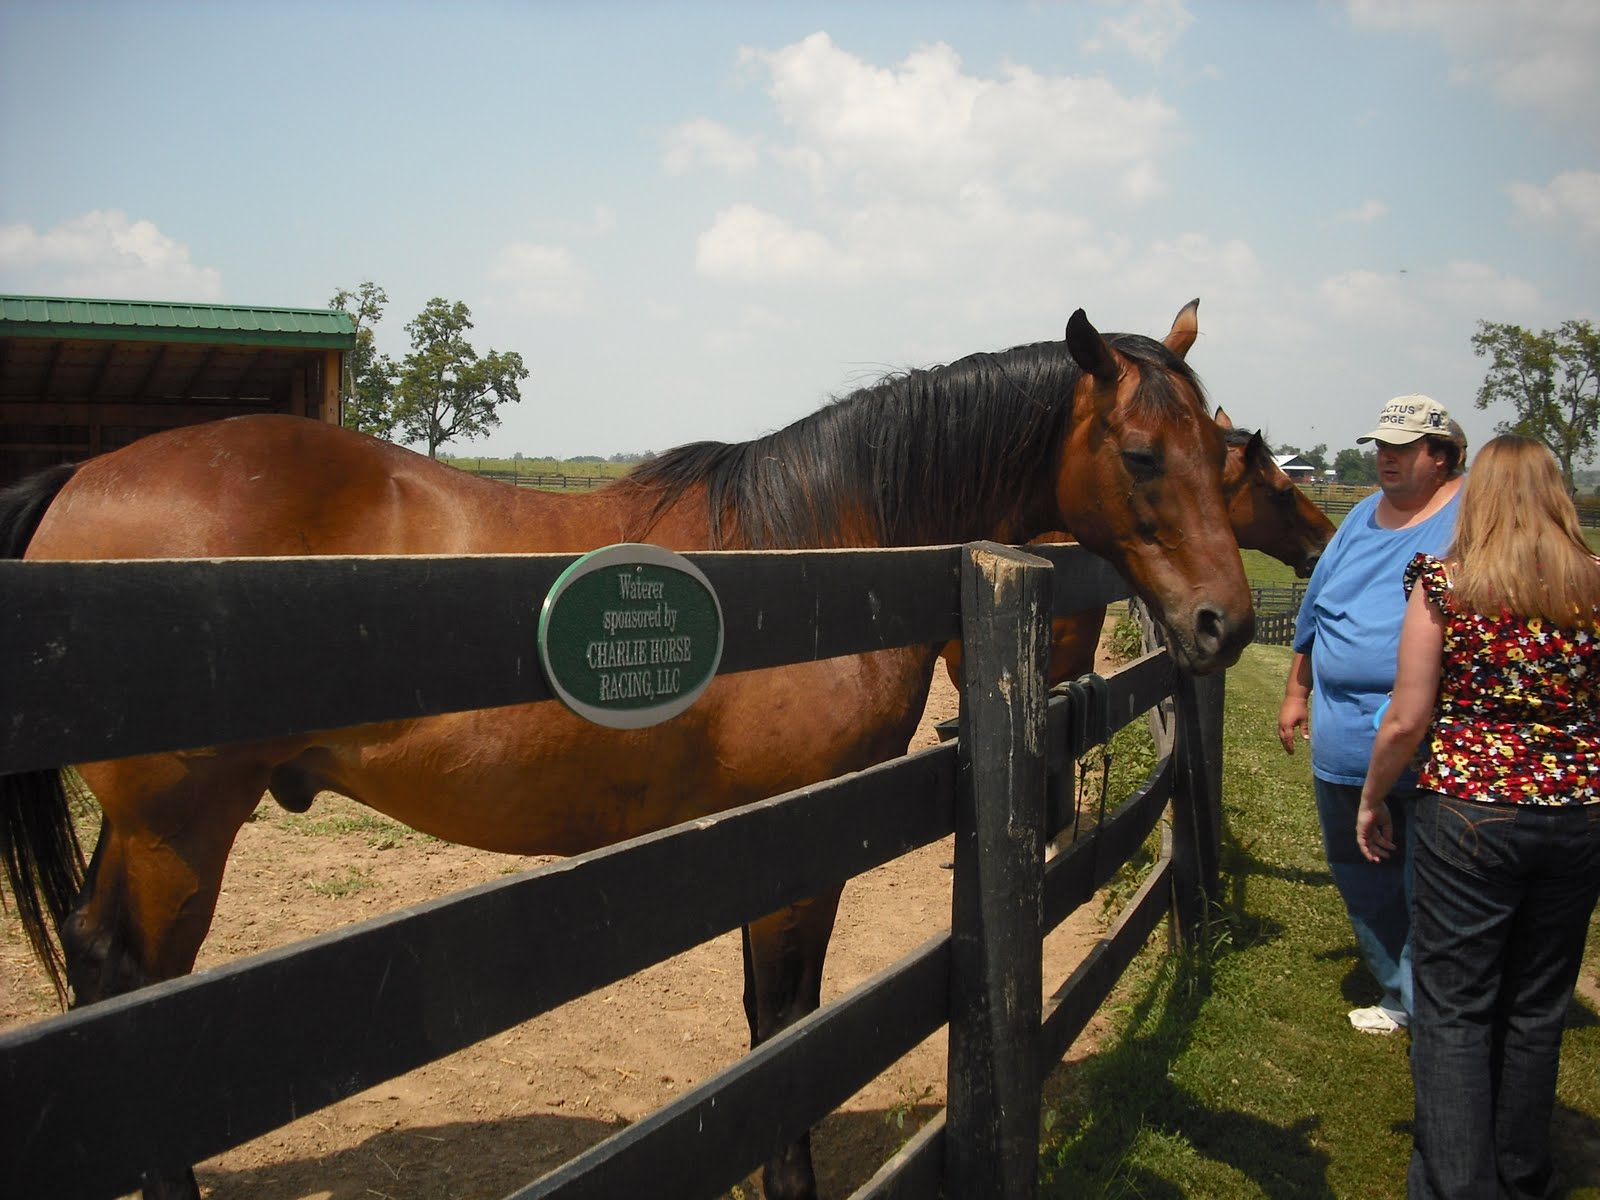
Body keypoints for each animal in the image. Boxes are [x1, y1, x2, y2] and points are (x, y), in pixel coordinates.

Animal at [0, 301, 1253, 1200]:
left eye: (1224, 453)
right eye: (1144, 454)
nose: (1224, 624)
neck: (815, 550)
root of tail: (84, 477)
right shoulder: (795, 842)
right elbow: (783, 1022)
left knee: (105, 976)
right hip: (178, 831)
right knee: (139, 998)